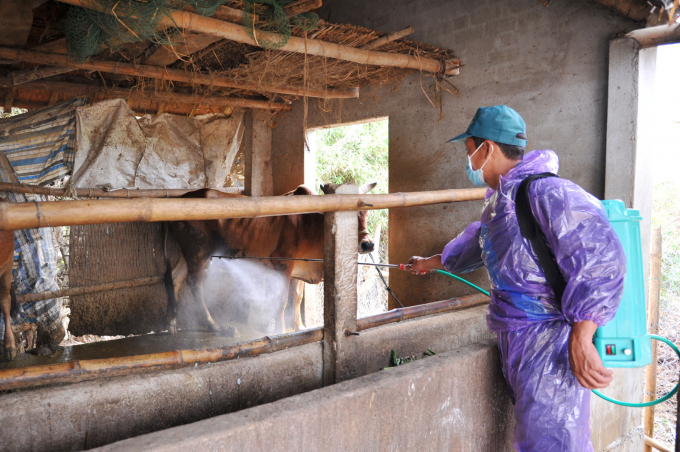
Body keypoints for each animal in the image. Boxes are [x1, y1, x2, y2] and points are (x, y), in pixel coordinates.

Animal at [165, 182, 378, 334]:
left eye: (366, 213)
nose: (368, 244)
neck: (312, 221)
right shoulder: (283, 262)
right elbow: (282, 299)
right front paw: (280, 330)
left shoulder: (300, 266)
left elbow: (297, 297)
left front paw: (299, 327)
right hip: (198, 251)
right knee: (195, 283)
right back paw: (214, 326)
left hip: (189, 252)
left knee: (175, 278)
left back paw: (172, 323)